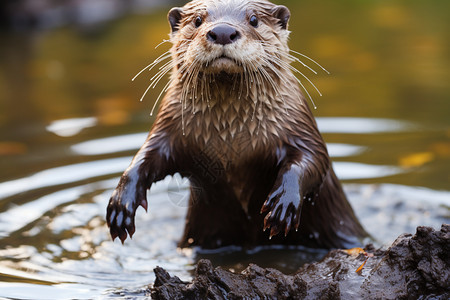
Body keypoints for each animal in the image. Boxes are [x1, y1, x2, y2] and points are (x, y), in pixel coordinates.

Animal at [107, 0, 368, 248]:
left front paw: (283, 203)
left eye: (254, 19)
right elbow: (146, 157)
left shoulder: (298, 123)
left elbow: (314, 158)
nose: (222, 32)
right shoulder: (168, 123)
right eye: (198, 20)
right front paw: (121, 203)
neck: (231, 139)